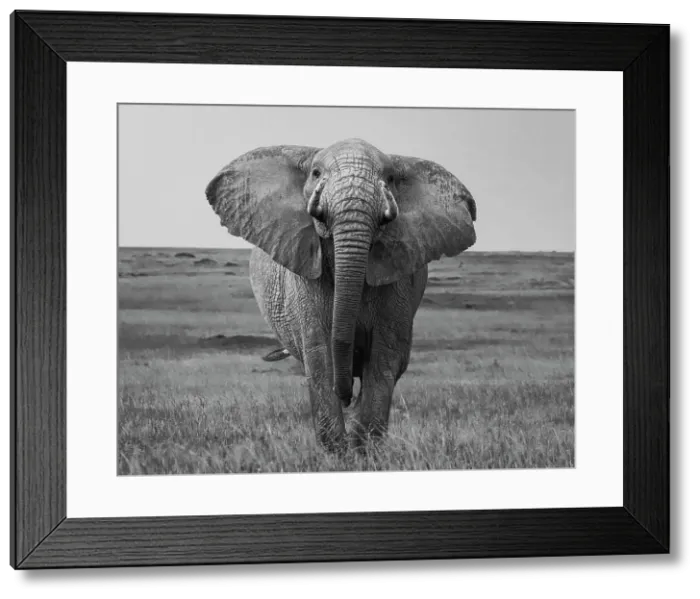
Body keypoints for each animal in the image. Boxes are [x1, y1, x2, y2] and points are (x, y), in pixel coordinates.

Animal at [205, 138, 477, 453]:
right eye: (316, 173)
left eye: (390, 179)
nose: (345, 396)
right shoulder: (306, 275)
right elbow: (320, 356)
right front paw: (337, 455)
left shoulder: (399, 277)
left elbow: (383, 358)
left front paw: (363, 453)